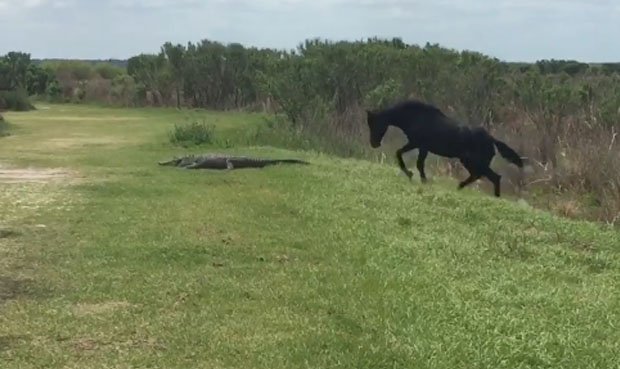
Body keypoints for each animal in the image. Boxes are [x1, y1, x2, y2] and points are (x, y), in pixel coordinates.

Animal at [366, 98, 524, 196]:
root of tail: (492, 140)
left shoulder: (419, 145)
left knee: (493, 177)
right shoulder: (420, 146)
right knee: (480, 176)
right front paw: (419, 178)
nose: (374, 144)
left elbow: (410, 159)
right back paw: (460, 187)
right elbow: (412, 160)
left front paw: (415, 177)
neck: (415, 117)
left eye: (375, 124)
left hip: (475, 163)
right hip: (469, 162)